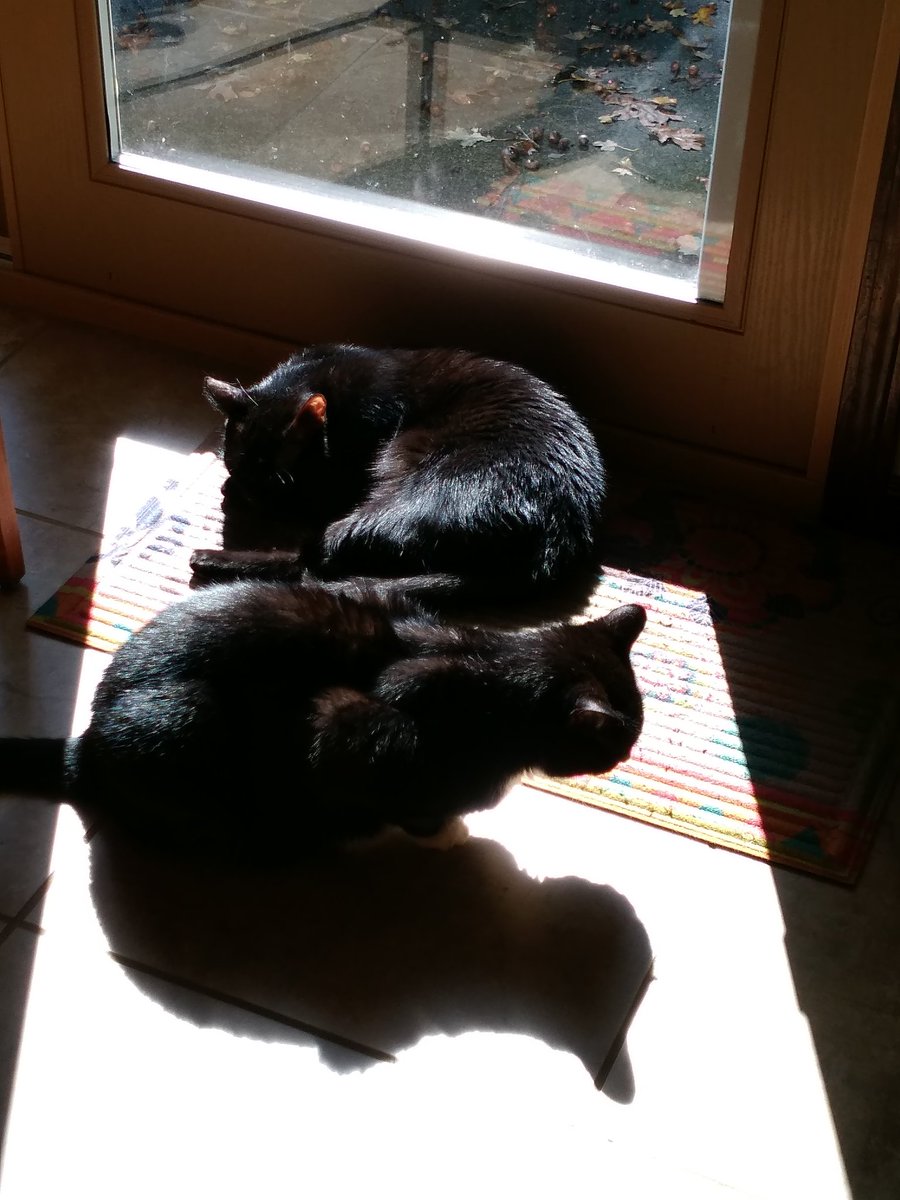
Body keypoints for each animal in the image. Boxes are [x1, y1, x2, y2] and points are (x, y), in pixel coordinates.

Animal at [1, 578, 648, 854]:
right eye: (620, 743)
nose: (627, 755)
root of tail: (84, 746)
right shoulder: (363, 730)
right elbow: (411, 802)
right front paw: (446, 834)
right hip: (187, 722)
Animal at [193, 343, 609, 614]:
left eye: (274, 483)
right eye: (238, 466)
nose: (247, 497)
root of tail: (560, 538)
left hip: (402, 498)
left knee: (317, 560)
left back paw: (211, 560)